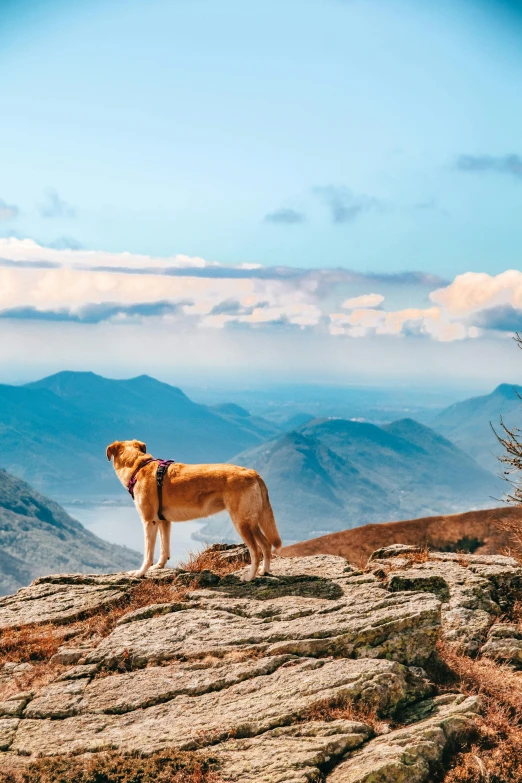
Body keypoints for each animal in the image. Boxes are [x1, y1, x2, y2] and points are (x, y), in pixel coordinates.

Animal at [104, 440, 280, 580]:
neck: (138, 466)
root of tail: (253, 473)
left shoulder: (149, 522)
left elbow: (148, 554)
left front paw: (140, 573)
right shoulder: (164, 522)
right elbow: (164, 549)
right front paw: (159, 566)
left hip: (241, 523)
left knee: (256, 551)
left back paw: (249, 577)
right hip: (252, 522)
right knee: (266, 544)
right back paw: (264, 571)